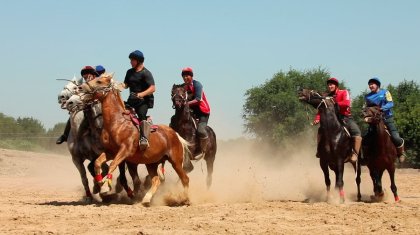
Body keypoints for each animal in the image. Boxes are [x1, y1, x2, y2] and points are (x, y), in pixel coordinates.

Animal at [79, 73, 193, 206]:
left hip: (175, 161)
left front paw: (105, 187)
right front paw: (100, 184)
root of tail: (175, 134)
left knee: (185, 179)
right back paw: (146, 199)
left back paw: (185, 199)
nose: (80, 88)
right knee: (156, 180)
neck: (117, 123)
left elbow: (112, 165)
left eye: (99, 81)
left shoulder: (125, 150)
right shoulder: (110, 152)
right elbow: (97, 162)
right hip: (152, 163)